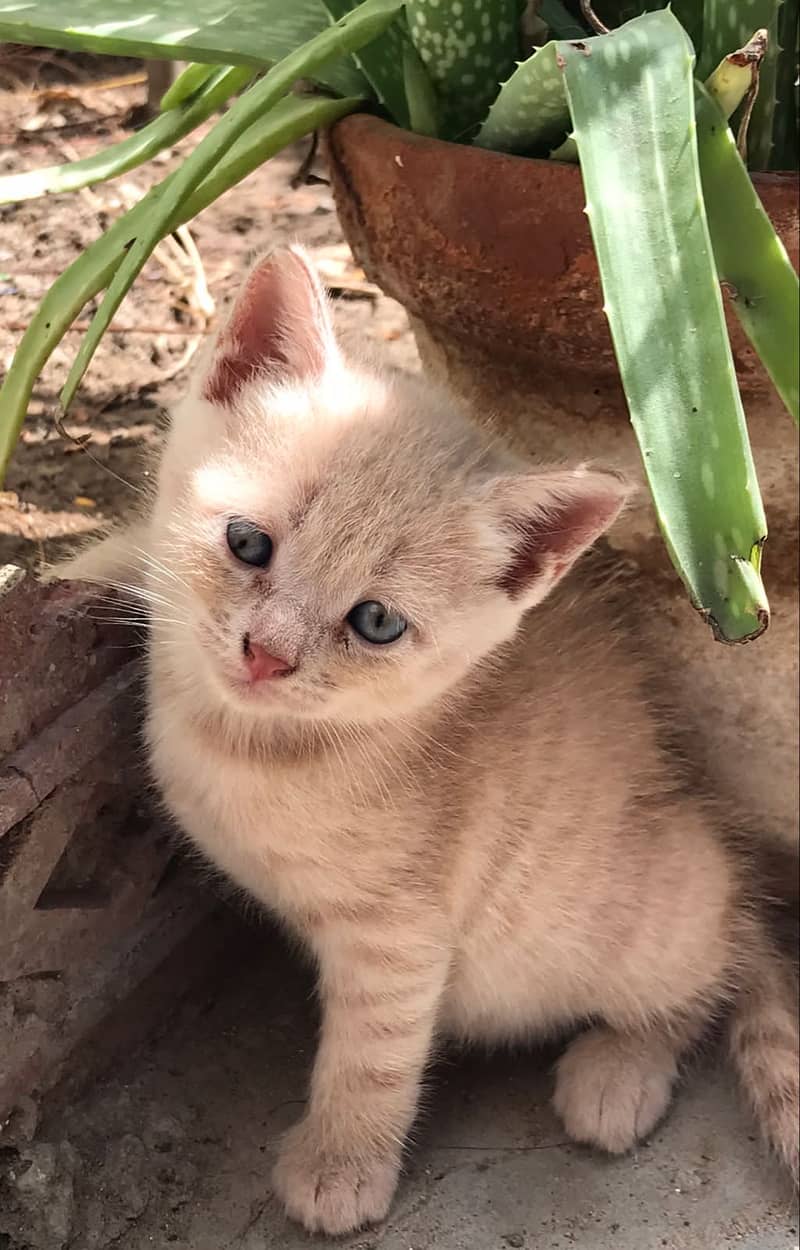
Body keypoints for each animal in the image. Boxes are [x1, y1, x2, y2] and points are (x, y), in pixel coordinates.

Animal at [54, 246, 795, 1240]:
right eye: (247, 543)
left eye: (375, 622)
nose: (266, 654)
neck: (236, 739)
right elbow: (125, 557)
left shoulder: (399, 933)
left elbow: (372, 1054)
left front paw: (341, 1165)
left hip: (645, 916)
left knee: (703, 976)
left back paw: (618, 1073)